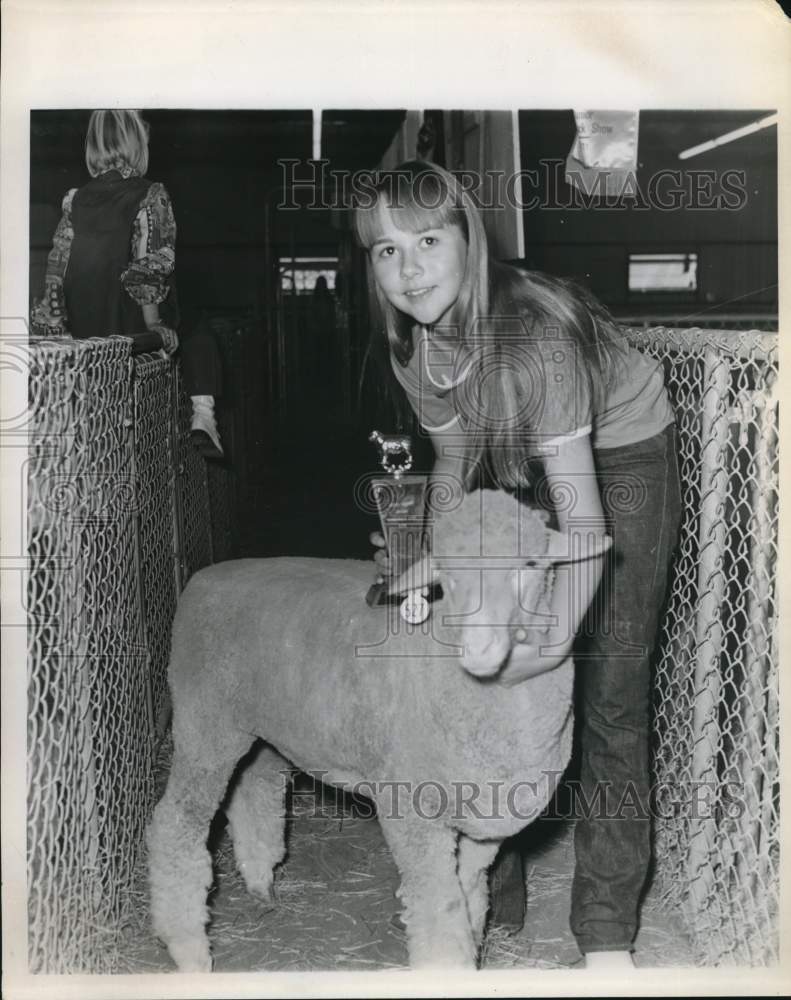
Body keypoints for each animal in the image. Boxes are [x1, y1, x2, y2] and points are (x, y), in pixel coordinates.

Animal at [147, 488, 610, 970]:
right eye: (446, 573)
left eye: (531, 564)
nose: (479, 649)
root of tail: (205, 576)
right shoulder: (411, 811)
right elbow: (440, 913)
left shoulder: (486, 823)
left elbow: (469, 899)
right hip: (205, 722)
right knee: (175, 823)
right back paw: (189, 949)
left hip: (264, 724)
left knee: (255, 789)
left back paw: (261, 881)